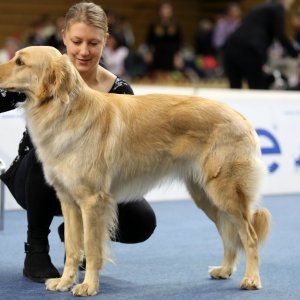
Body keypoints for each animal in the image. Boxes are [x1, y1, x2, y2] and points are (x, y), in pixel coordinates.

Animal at [0, 45, 272, 296]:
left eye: (20, 61)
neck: (65, 109)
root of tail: (241, 117)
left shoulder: (92, 201)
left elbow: (91, 247)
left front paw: (88, 285)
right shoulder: (68, 201)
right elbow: (73, 247)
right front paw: (66, 281)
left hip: (225, 194)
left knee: (249, 237)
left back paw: (251, 279)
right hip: (207, 197)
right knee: (229, 234)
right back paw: (225, 269)